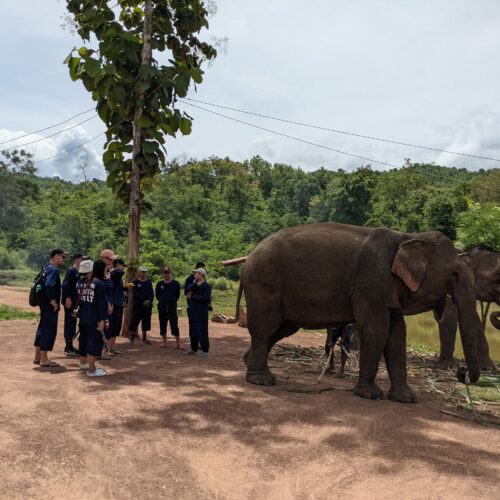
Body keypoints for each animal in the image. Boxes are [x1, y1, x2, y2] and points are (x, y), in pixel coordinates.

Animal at [236, 223, 482, 402]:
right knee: (265, 327)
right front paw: (370, 394)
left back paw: (248, 362)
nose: (461, 373)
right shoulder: (370, 284)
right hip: (264, 284)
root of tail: (248, 258)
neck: (408, 236)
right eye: (454, 275)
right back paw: (261, 380)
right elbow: (376, 329)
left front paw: (405, 399)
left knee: (282, 328)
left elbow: (397, 335)